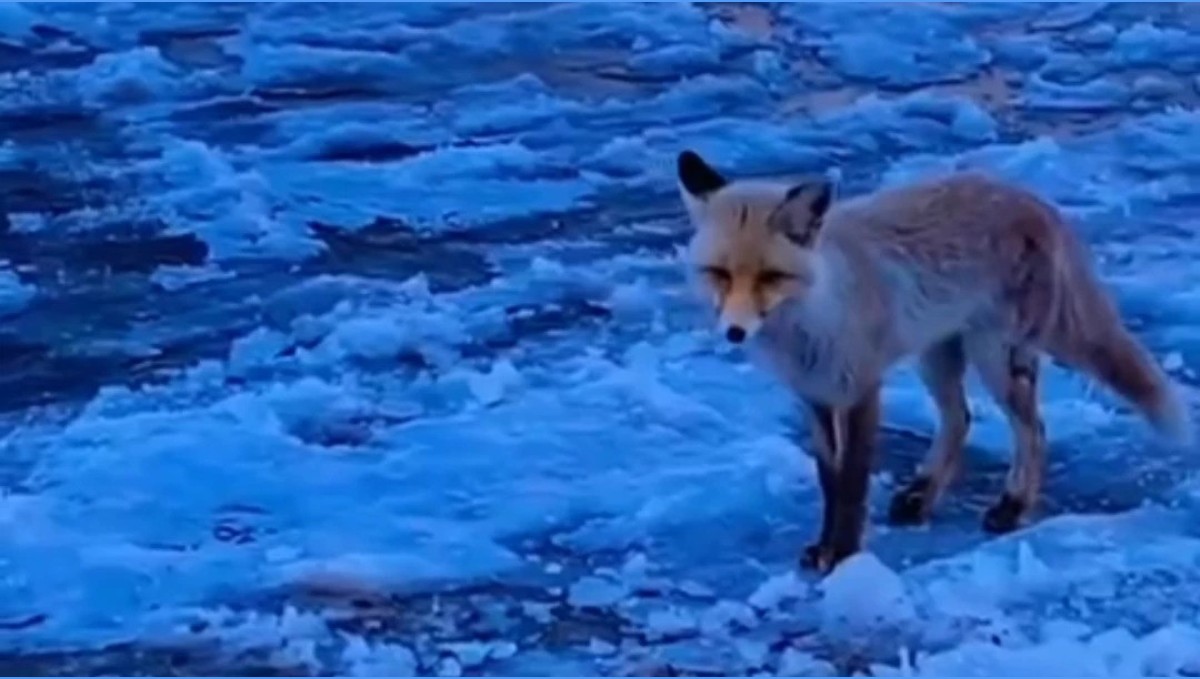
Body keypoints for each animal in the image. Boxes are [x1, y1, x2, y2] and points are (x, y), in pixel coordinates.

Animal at [676, 147, 1190, 575]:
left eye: (770, 277)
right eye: (719, 274)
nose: (735, 332)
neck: (812, 320)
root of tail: (1033, 199)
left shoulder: (861, 386)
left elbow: (853, 484)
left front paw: (843, 555)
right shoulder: (813, 395)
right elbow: (829, 482)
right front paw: (824, 547)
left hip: (994, 356)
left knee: (1033, 431)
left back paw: (1012, 506)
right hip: (935, 354)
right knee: (960, 419)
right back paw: (921, 496)